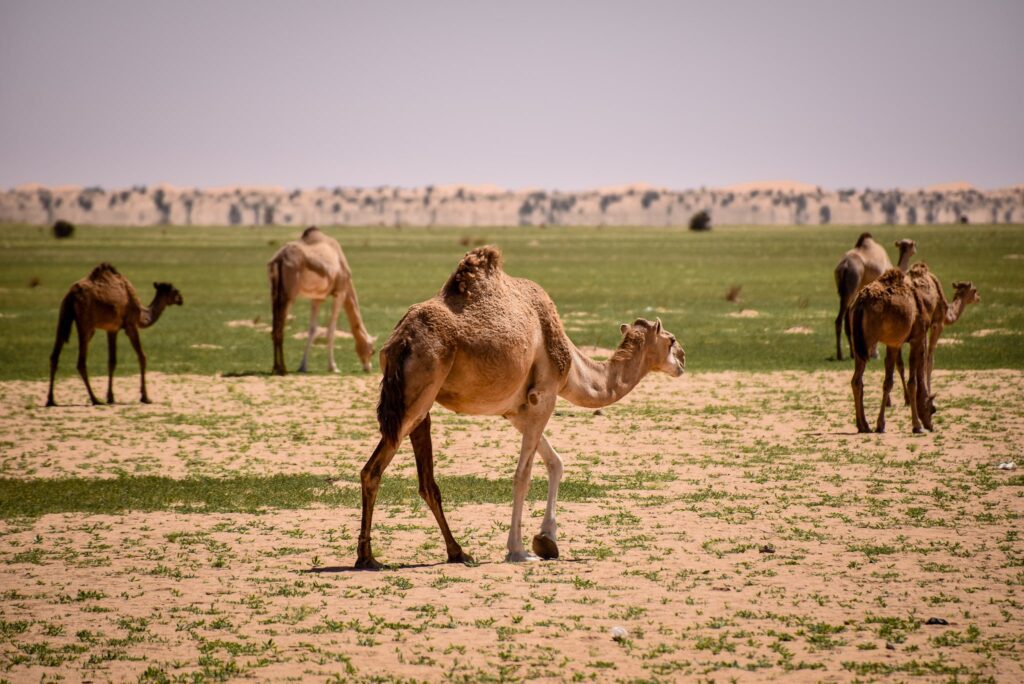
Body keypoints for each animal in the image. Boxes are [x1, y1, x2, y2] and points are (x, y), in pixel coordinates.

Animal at [47, 264, 184, 405]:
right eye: (175, 291)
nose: (181, 300)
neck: (141, 314)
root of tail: (72, 294)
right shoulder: (130, 325)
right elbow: (142, 357)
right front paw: (145, 397)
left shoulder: (112, 329)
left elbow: (112, 361)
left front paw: (111, 397)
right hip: (86, 324)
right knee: (80, 362)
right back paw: (95, 399)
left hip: (63, 315)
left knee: (54, 355)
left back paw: (51, 400)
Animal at [266, 225, 374, 374]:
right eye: (372, 350)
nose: (368, 367)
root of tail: (279, 259)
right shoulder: (340, 293)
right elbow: (331, 330)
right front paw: (333, 367)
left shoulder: (317, 298)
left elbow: (313, 329)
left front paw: (303, 366)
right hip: (289, 295)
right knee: (280, 326)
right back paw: (283, 368)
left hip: (275, 294)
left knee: (275, 327)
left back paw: (276, 367)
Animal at [356, 248, 684, 569]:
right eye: (671, 340)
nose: (682, 360)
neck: (573, 368)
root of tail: (400, 341)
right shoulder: (545, 396)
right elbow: (522, 475)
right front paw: (519, 550)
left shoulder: (516, 411)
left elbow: (555, 462)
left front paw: (547, 539)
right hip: (414, 397)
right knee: (374, 469)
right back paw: (369, 557)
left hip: (417, 404)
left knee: (421, 480)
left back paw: (453, 552)